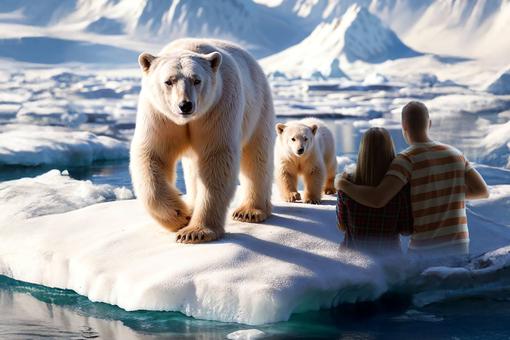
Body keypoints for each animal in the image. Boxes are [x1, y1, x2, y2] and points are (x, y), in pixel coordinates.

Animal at [130, 38, 274, 243]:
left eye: (197, 80)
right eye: (169, 81)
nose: (185, 105)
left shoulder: (218, 107)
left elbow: (217, 158)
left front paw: (195, 232)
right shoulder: (159, 116)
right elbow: (153, 155)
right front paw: (182, 216)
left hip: (258, 106)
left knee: (256, 156)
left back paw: (250, 211)